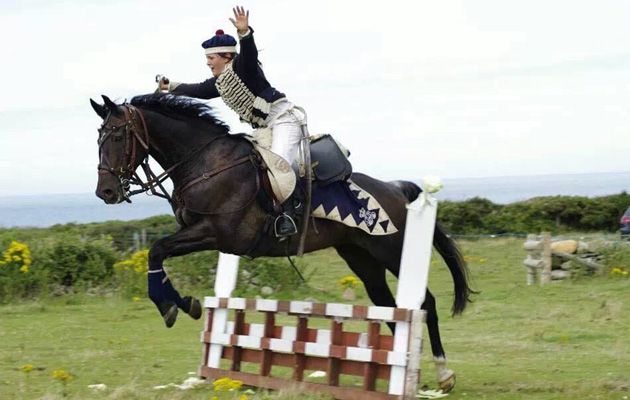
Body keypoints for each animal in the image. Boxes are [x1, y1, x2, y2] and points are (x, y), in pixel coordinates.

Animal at [89, 93, 474, 390]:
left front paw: (174, 306)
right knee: (390, 309)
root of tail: (395, 189)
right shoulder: (206, 235)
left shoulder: (216, 232)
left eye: (118, 138)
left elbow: (157, 250)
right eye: (99, 139)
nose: (105, 192)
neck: (206, 163)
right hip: (362, 259)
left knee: (424, 303)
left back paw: (443, 373)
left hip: (392, 250)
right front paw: (182, 304)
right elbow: (159, 254)